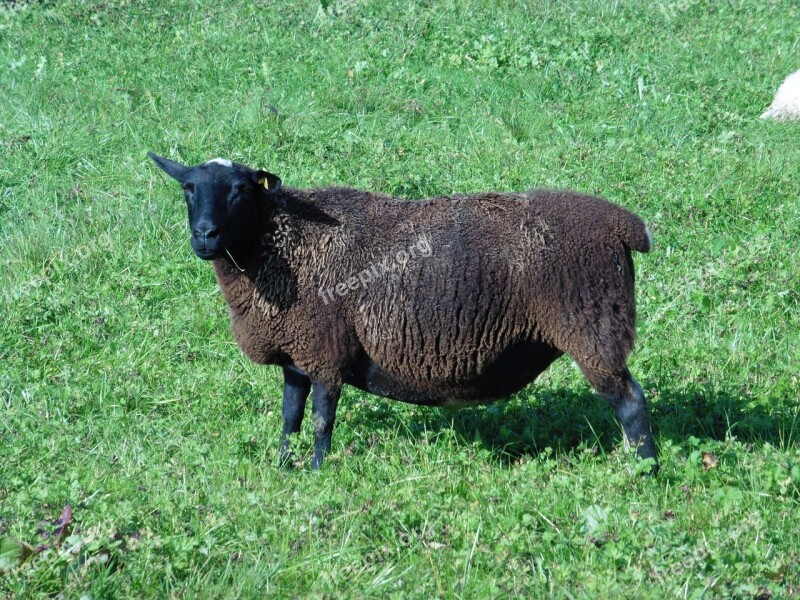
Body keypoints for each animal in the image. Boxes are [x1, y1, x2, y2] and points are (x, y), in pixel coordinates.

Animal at [148, 154, 656, 474]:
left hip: (593, 327)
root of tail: (624, 226)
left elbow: (321, 419)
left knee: (631, 402)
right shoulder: (296, 356)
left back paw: (646, 471)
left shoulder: (325, 349)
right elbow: (290, 418)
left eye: (239, 191)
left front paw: (317, 473)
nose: (205, 235)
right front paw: (282, 468)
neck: (280, 245)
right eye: (188, 188)